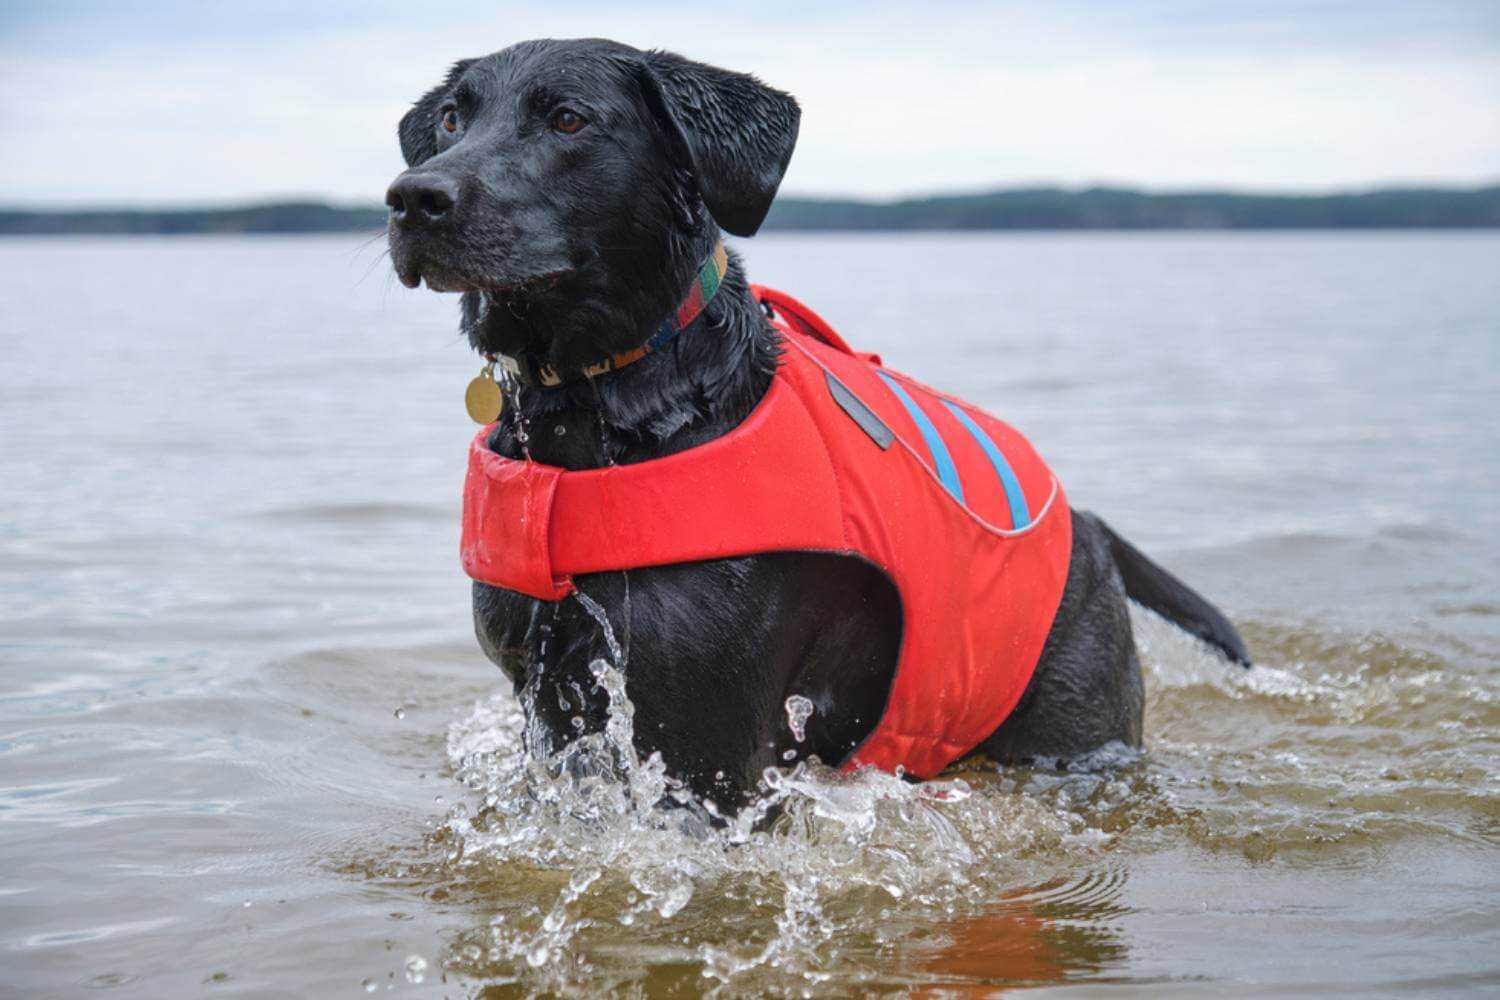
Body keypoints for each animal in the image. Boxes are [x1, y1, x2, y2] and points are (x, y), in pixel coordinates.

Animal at [387, 41, 1254, 815]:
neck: (604, 411)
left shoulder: (712, 744)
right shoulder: (548, 695)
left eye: (567, 118)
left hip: (1071, 723)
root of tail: (1092, 527)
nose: (412, 197)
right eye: (452, 120)